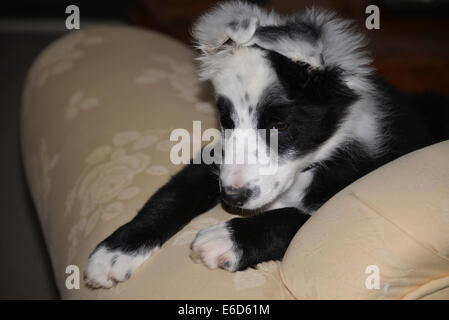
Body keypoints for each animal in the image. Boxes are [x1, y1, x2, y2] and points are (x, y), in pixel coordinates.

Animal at [82, 1, 446, 288]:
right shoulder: (216, 157)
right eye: (226, 120)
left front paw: (224, 239)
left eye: (280, 125)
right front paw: (116, 252)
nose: (231, 198)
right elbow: (173, 193)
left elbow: (295, 218)